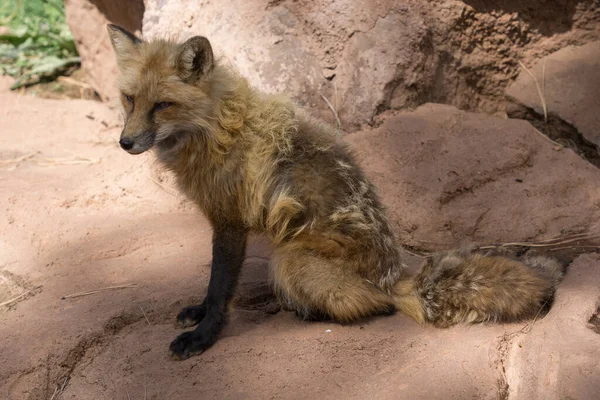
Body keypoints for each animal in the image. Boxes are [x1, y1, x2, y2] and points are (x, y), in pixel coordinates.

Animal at [106, 25, 564, 360]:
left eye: (163, 105)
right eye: (129, 99)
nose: (125, 144)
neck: (214, 127)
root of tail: (395, 274)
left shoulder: (231, 222)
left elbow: (221, 286)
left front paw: (204, 336)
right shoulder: (223, 222)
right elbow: (213, 286)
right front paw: (198, 315)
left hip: (289, 260)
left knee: (376, 305)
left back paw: (311, 310)